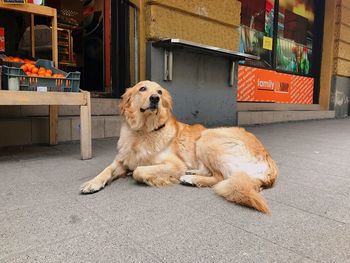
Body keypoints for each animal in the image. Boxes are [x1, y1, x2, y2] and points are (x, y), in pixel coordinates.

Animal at [80, 80, 278, 214]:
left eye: (159, 91)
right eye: (142, 88)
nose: (155, 98)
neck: (144, 131)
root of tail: (270, 164)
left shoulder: (174, 164)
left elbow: (139, 170)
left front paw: (154, 178)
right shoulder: (121, 160)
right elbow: (106, 170)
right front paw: (92, 183)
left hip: (207, 138)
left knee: (220, 177)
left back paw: (190, 179)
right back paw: (192, 174)